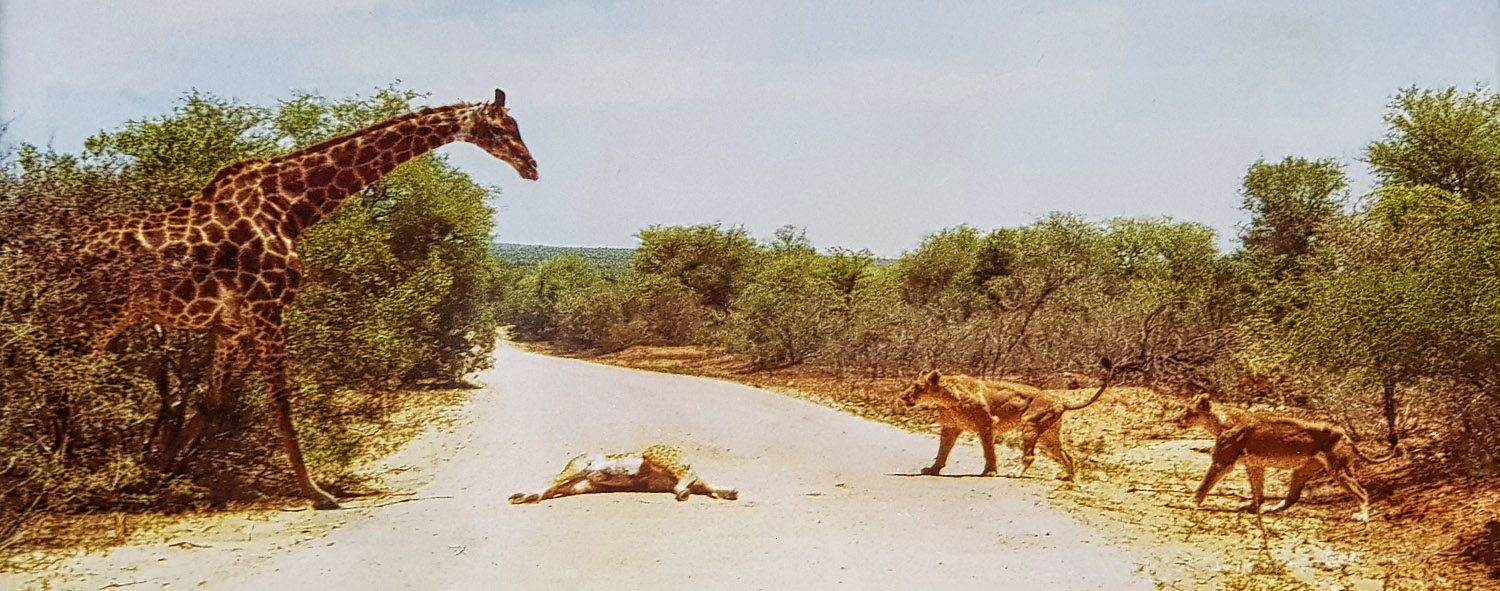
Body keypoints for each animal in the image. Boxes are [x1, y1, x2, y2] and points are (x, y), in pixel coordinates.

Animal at [71, 89, 537, 509]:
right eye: (501, 127)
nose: (531, 167)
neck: (290, 209)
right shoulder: (268, 309)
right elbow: (281, 402)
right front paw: (317, 494)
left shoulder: (232, 324)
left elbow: (211, 402)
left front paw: (157, 474)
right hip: (101, 315)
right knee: (73, 380)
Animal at [508, 444, 739, 504]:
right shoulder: (578, 483)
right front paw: (525, 496)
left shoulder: (580, 466)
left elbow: (550, 481)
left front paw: (526, 495)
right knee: (700, 481)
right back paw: (729, 492)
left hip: (655, 453)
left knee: (688, 475)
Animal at [900, 358, 1116, 480]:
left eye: (917, 387)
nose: (902, 396)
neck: (946, 398)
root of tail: (1062, 401)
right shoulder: (950, 428)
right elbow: (942, 452)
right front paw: (933, 469)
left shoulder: (986, 424)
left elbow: (989, 451)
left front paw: (990, 472)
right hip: (1049, 435)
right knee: (1067, 455)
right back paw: (1068, 478)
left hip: (1030, 425)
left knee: (1030, 456)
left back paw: (1015, 473)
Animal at [1173, 394, 1396, 521]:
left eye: (1188, 412)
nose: (1175, 420)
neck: (1220, 421)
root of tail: (1344, 432)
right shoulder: (1255, 464)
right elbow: (1258, 490)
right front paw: (1253, 507)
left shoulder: (1222, 461)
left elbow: (1204, 484)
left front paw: (1189, 503)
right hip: (1303, 470)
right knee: (1292, 496)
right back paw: (1273, 509)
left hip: (1338, 469)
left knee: (1362, 492)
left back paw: (1363, 516)